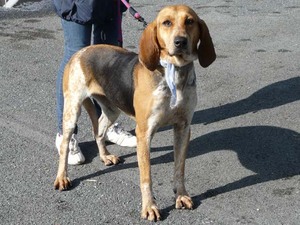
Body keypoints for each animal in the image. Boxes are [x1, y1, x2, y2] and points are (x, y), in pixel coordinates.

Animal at [54, 4, 216, 221]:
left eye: (189, 21)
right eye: (166, 22)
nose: (180, 41)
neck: (174, 72)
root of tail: (79, 52)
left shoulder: (183, 128)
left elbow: (179, 168)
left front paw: (181, 195)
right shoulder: (144, 134)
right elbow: (146, 177)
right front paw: (150, 207)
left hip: (112, 110)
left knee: (99, 131)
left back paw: (105, 156)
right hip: (72, 111)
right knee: (64, 145)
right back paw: (62, 177)